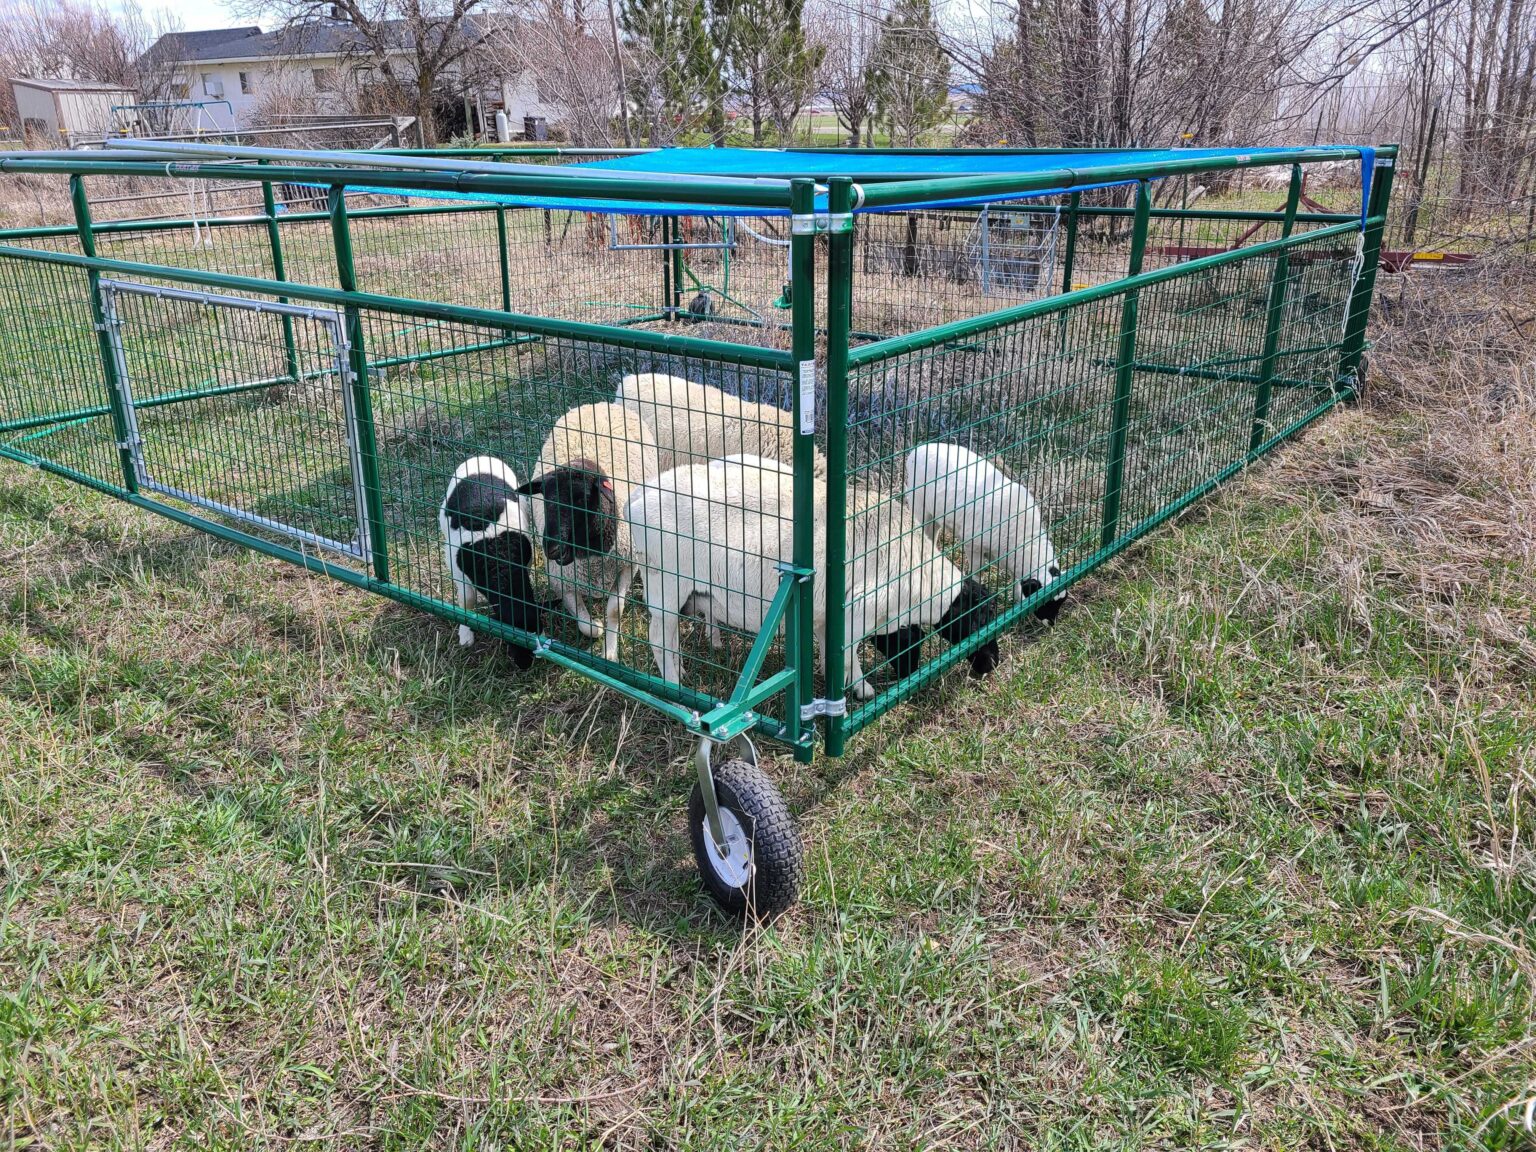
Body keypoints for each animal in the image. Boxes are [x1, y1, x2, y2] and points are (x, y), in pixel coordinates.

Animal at [436, 454, 543, 666]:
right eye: (510, 637)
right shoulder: (458, 571)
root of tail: (482, 456)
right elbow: (467, 601)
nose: (524, 665)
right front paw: (465, 634)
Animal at [516, 402, 660, 663]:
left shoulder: (627, 565)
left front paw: (609, 652)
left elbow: (614, 611)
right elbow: (586, 626)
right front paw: (597, 628)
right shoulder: (561, 581)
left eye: (582, 498)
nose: (551, 548)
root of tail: (600, 404)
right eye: (546, 497)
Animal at [620, 454, 995, 700]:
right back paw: (673, 685)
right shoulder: (855, 612)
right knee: (658, 636)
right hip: (666, 582)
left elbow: (834, 653)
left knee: (670, 637)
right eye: (979, 618)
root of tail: (638, 497)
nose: (991, 664)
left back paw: (682, 669)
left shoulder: (825, 616)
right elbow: (849, 655)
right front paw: (861, 691)